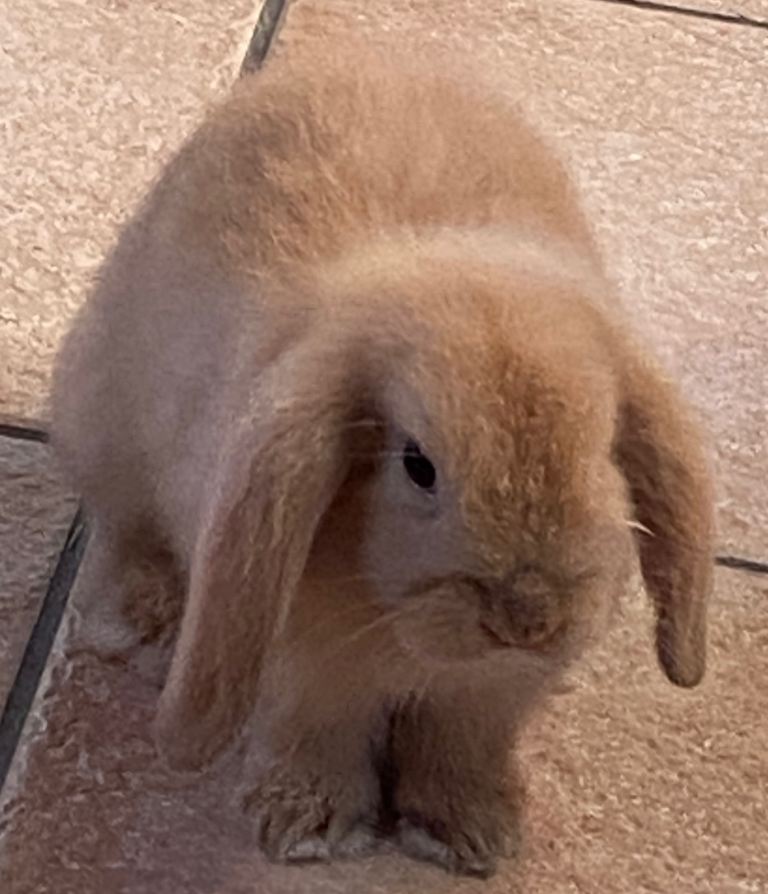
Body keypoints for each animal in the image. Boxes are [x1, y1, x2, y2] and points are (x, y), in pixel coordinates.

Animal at [51, 42, 715, 877]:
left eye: (602, 450)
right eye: (417, 465)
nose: (528, 617)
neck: (412, 637)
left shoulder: (488, 700)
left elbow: (459, 751)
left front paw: (468, 835)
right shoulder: (307, 674)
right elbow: (316, 737)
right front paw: (312, 829)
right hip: (106, 427)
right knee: (124, 529)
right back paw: (139, 621)